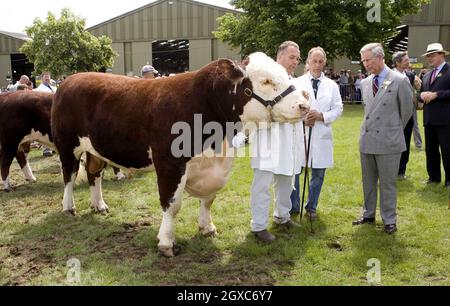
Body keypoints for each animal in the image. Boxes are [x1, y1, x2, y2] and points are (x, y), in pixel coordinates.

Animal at [51, 52, 308, 256]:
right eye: (266, 81)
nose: (304, 105)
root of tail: (71, 79)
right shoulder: (170, 164)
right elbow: (172, 204)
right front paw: (166, 242)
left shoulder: (214, 168)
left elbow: (209, 199)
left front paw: (207, 228)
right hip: (67, 146)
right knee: (69, 176)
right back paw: (69, 208)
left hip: (95, 149)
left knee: (94, 174)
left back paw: (99, 206)